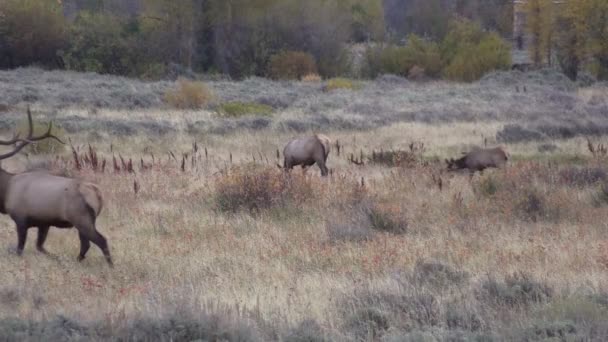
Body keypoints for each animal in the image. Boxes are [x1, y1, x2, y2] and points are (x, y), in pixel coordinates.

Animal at [0, 107, 113, 268]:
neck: (5, 191)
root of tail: (97, 194)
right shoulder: (44, 223)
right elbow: (39, 246)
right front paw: (56, 258)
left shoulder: (20, 219)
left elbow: (20, 249)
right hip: (87, 220)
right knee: (86, 244)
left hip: (81, 218)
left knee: (100, 241)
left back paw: (110, 266)